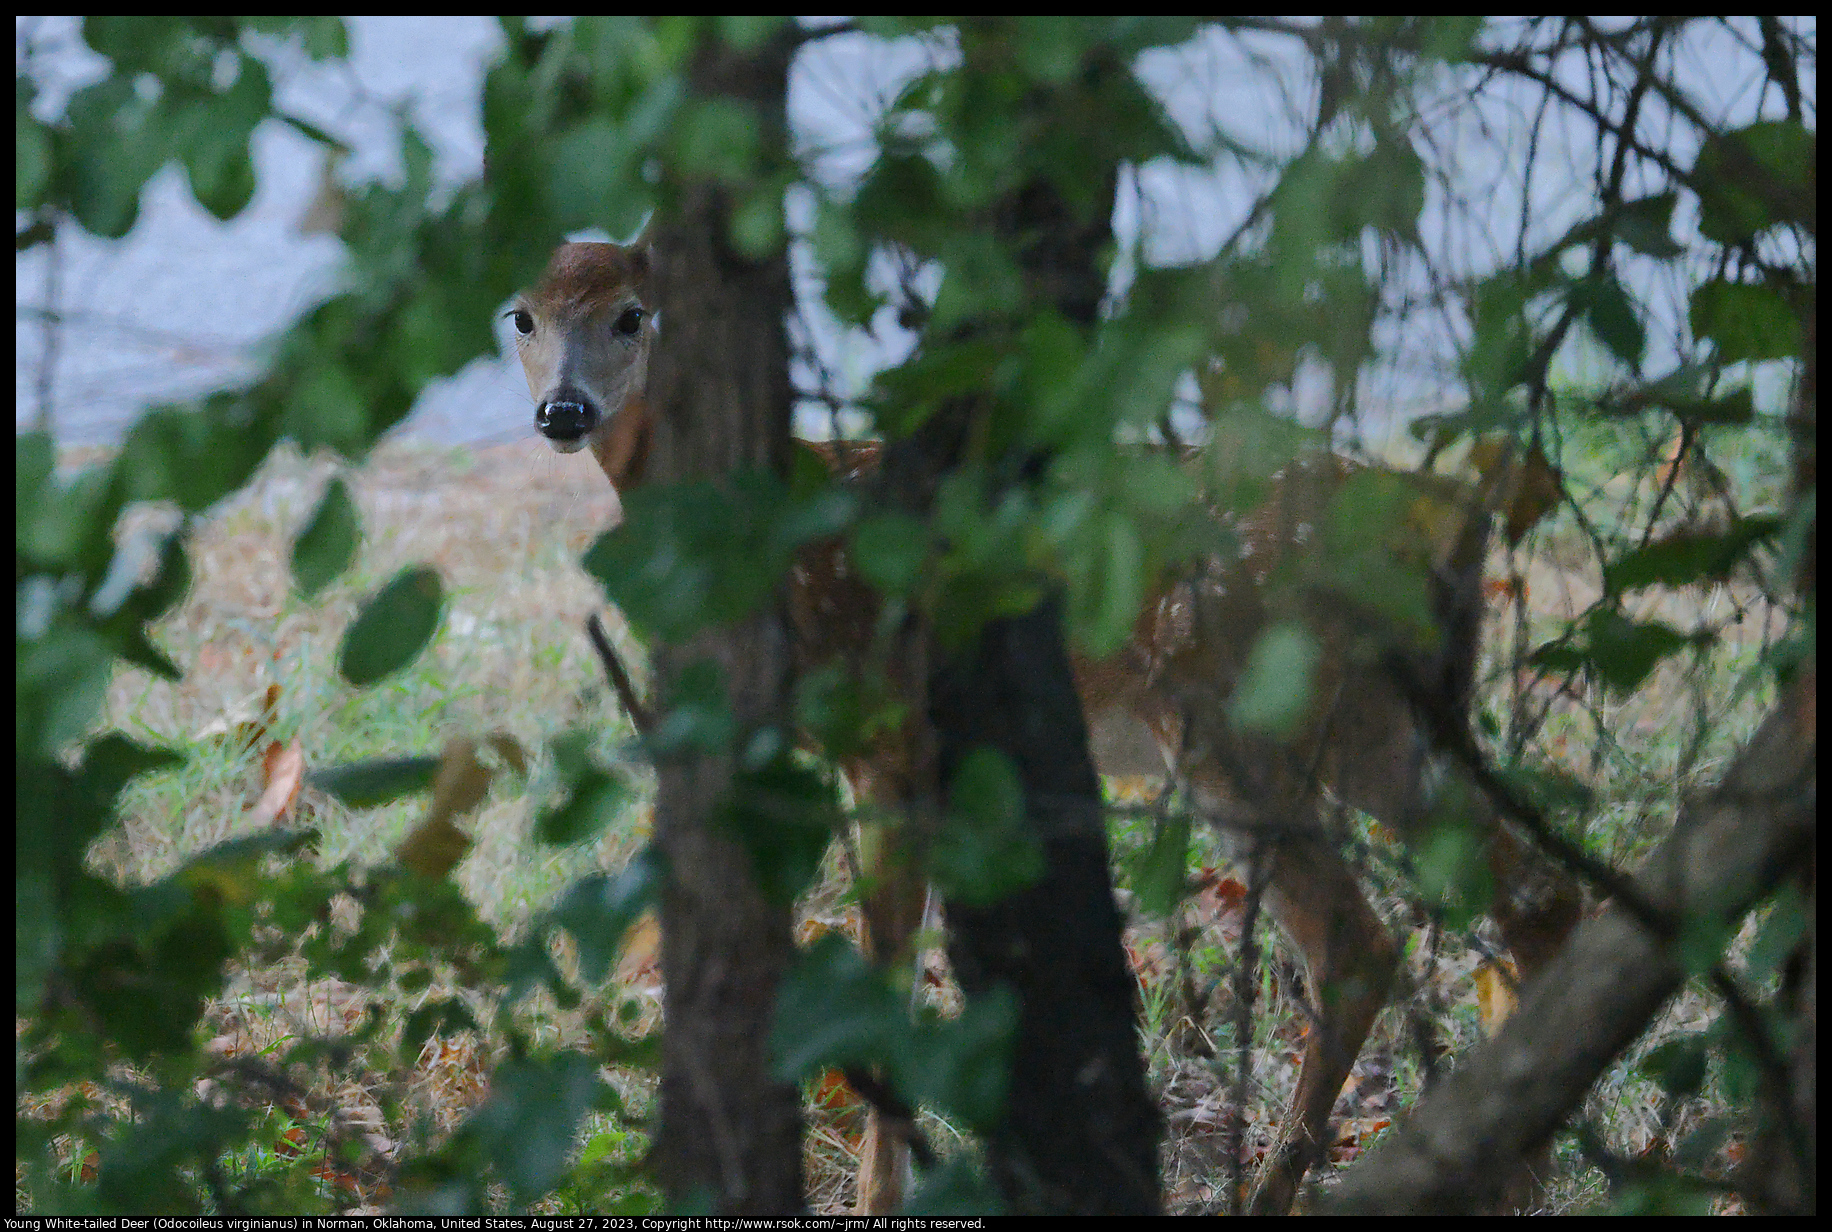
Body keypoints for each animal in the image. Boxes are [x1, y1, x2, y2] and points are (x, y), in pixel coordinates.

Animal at [512, 238, 1590, 1210]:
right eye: (521, 316)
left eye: (630, 315)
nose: (564, 411)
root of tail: (1445, 528)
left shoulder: (890, 741)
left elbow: (886, 977)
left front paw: (876, 1197)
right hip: (1381, 725)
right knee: (1537, 891)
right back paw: (1518, 1169)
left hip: (1234, 717)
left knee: (1356, 945)